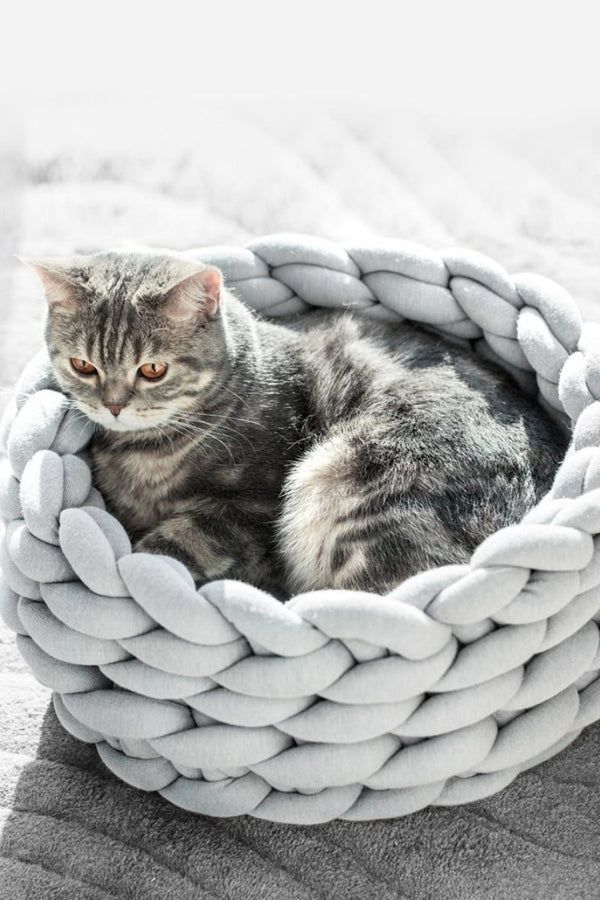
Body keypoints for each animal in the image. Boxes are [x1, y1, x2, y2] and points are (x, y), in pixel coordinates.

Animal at [28, 246, 568, 596]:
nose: (113, 405)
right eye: (83, 365)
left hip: (354, 490)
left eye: (152, 370)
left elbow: (162, 551)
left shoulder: (248, 509)